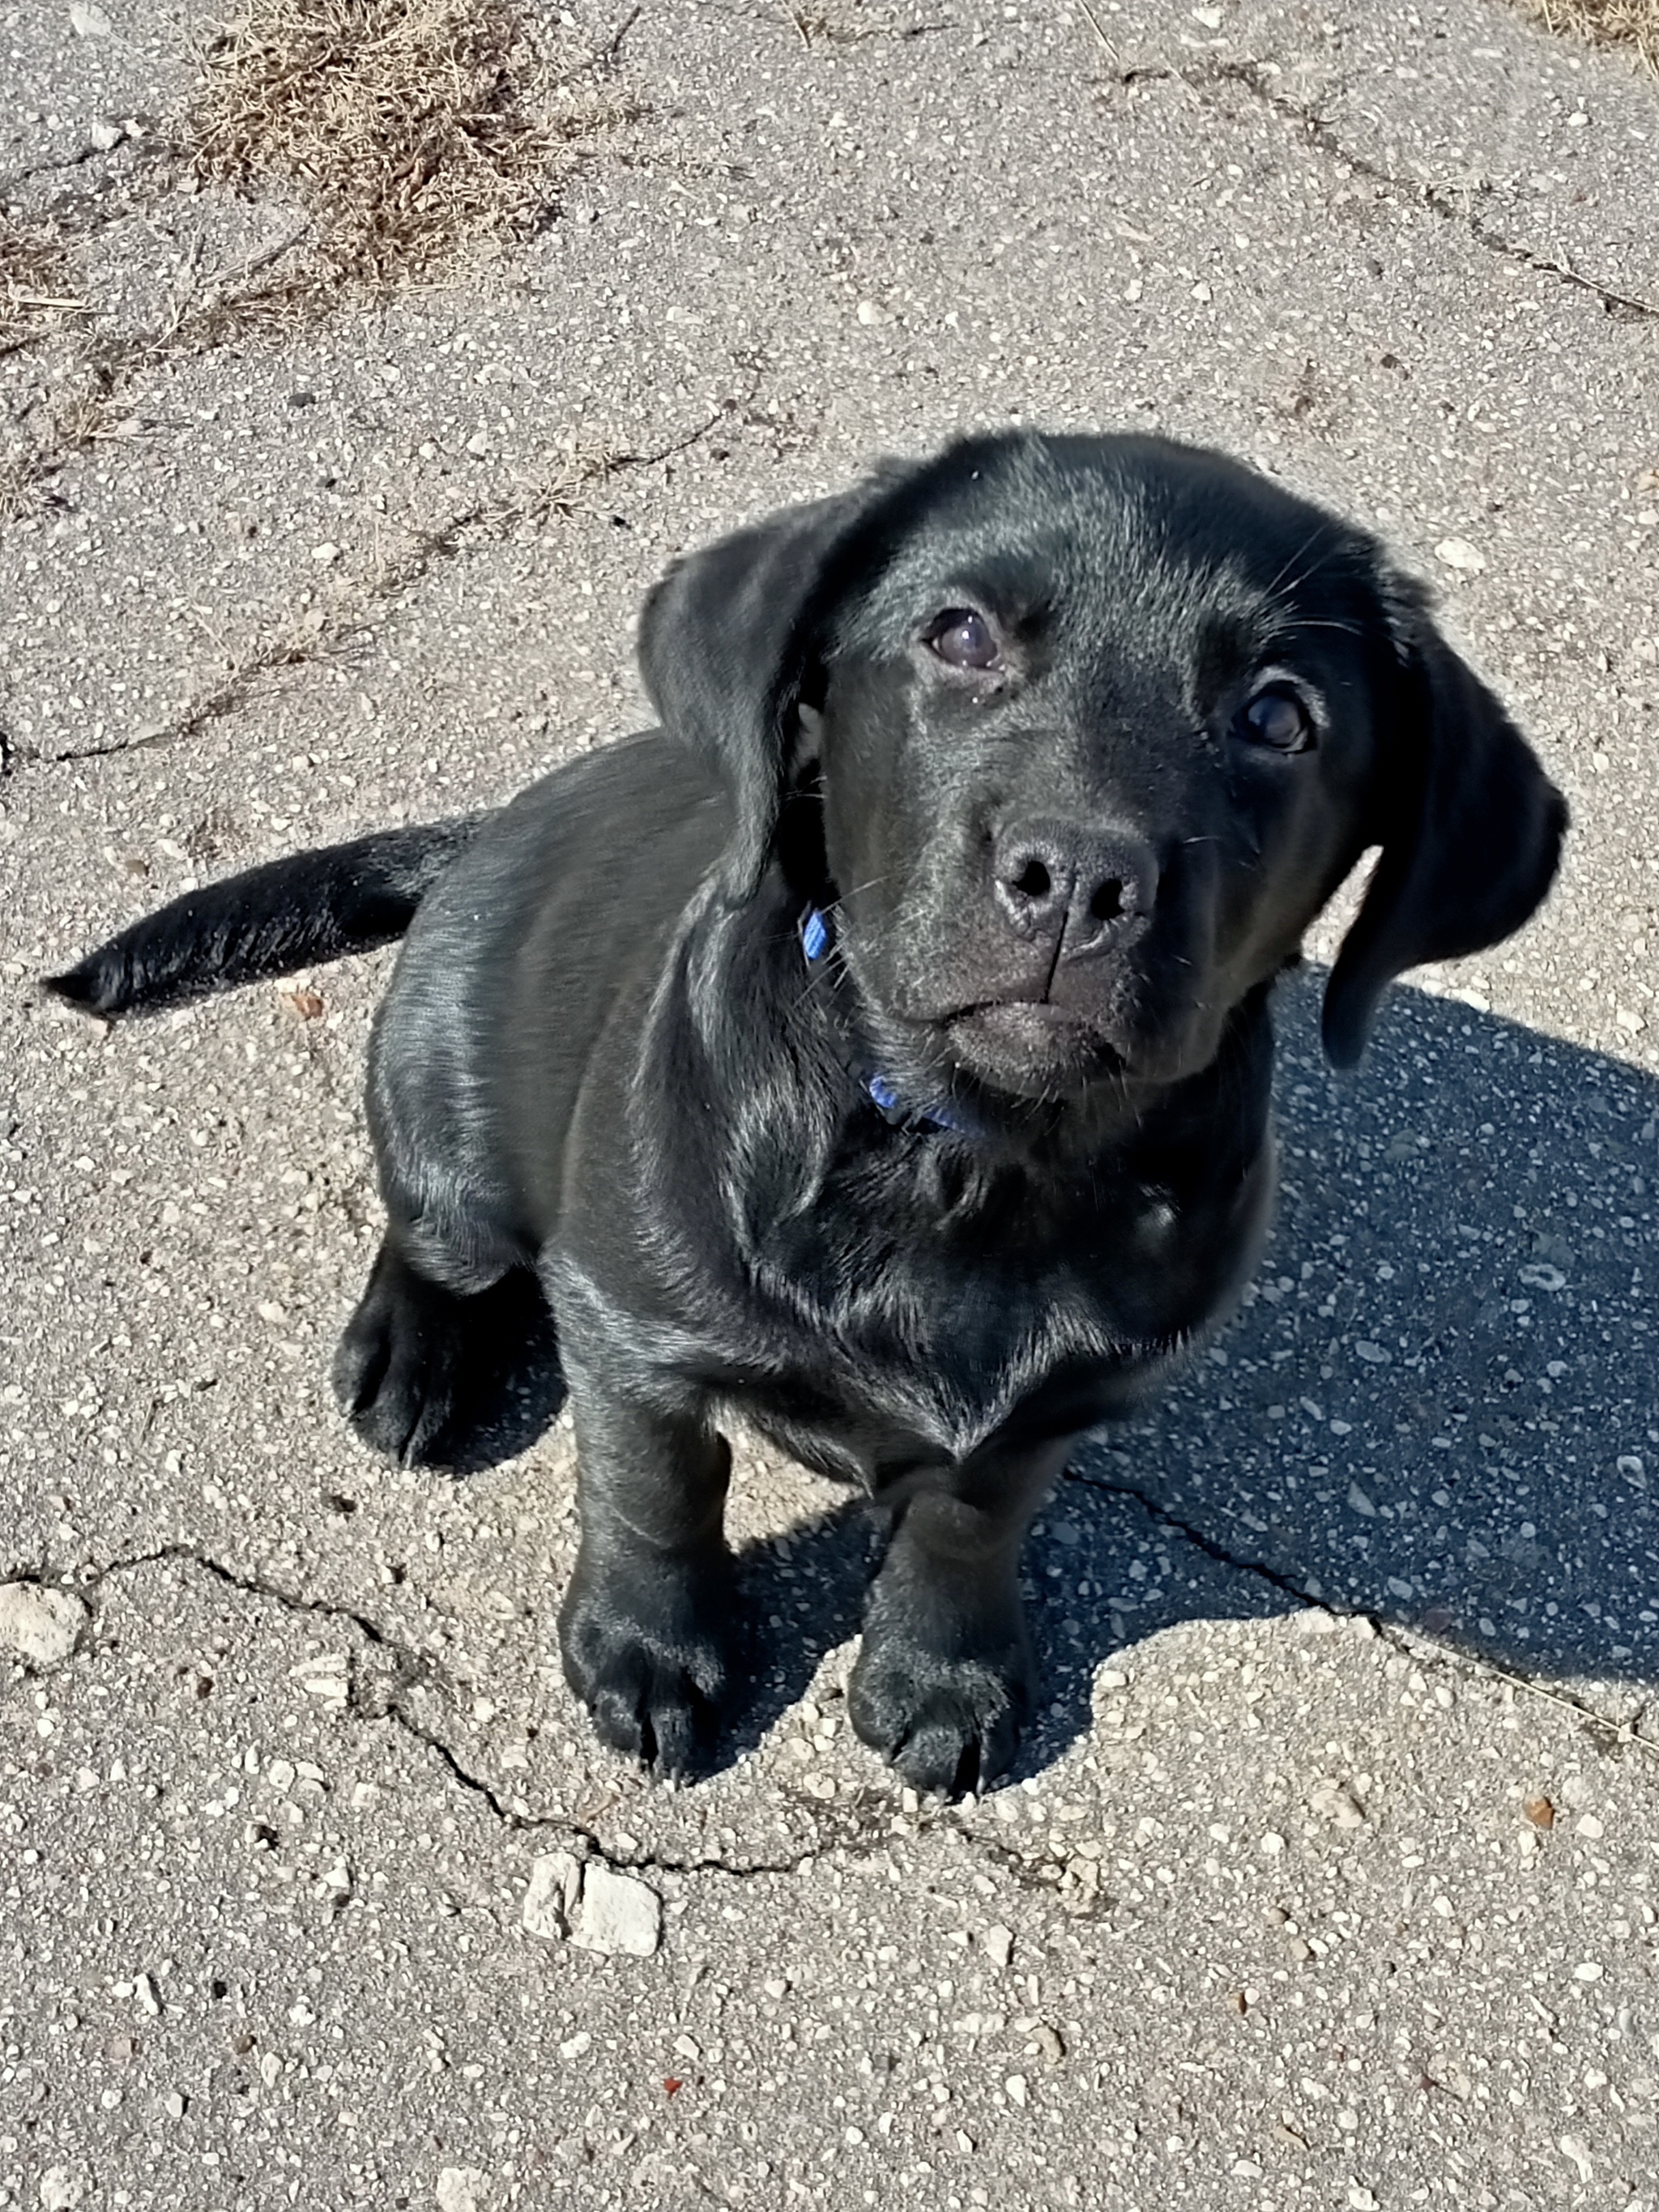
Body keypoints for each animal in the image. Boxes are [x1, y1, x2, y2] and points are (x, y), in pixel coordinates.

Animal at [45, 431, 1566, 1796]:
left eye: (1278, 717)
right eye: (957, 634)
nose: (1077, 877)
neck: (964, 1152)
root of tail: (491, 827)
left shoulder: (1050, 1409)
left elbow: (969, 1521)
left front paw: (939, 1673)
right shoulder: (631, 1327)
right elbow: (654, 1491)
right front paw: (648, 1652)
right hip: (451, 1119)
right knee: (438, 1234)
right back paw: (411, 1354)